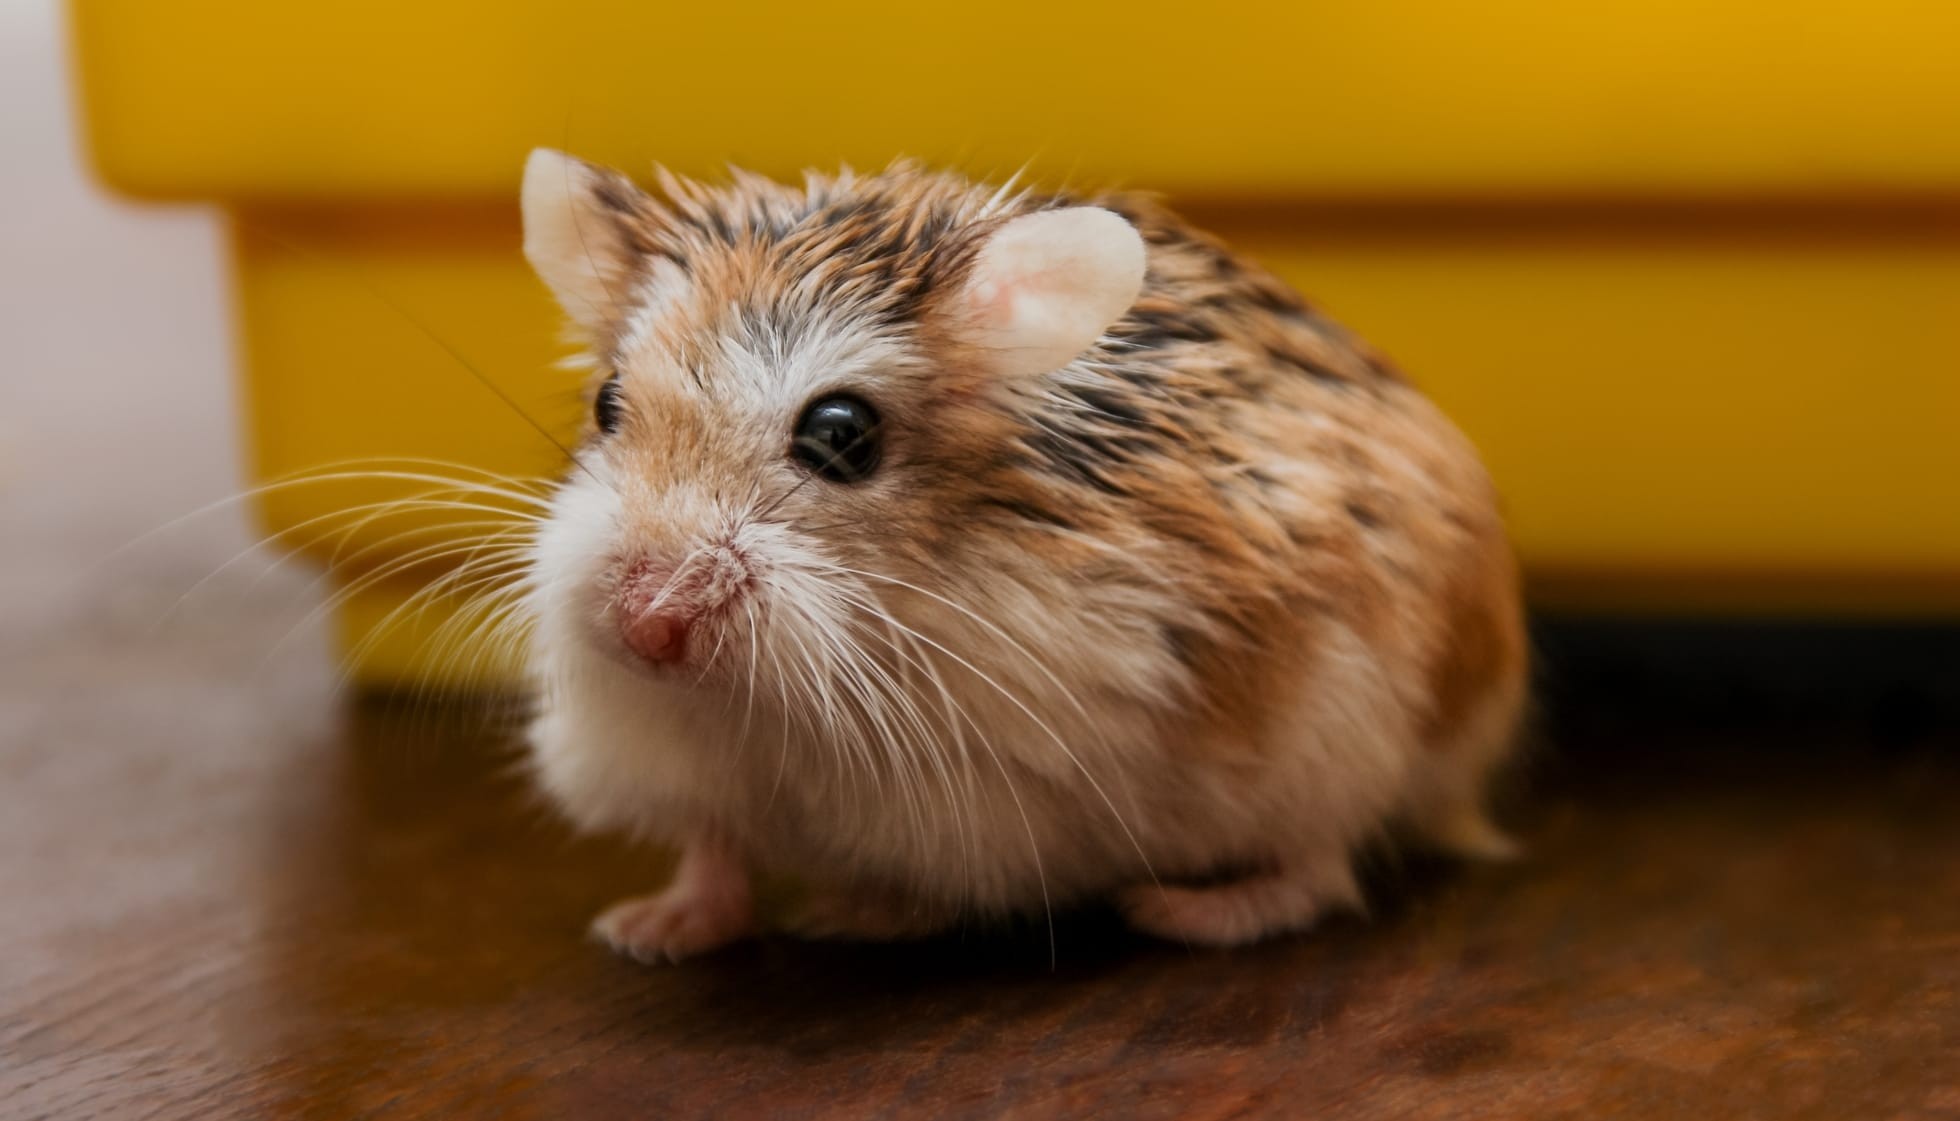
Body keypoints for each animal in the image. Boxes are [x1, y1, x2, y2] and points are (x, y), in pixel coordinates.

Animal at [515, 148, 1527, 962]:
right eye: (608, 402)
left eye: (841, 435)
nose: (647, 628)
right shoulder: (687, 763)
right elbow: (712, 850)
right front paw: (642, 930)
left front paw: (843, 913)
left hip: (1345, 736)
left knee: (1321, 868)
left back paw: (1176, 911)